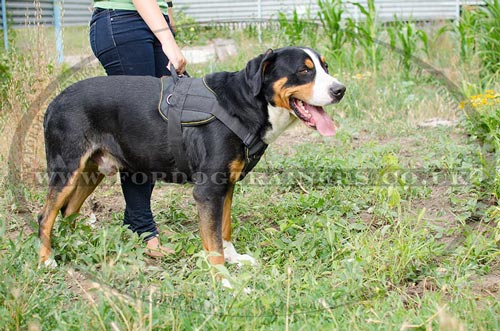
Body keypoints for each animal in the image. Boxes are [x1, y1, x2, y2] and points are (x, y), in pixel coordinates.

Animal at [39, 46, 346, 270]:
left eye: (325, 67)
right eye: (303, 71)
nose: (340, 90)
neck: (243, 106)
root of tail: (54, 101)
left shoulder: (226, 184)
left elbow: (224, 229)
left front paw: (234, 259)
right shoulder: (207, 190)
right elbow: (213, 242)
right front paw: (224, 279)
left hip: (92, 171)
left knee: (68, 211)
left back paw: (74, 244)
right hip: (66, 169)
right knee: (46, 215)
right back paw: (47, 260)